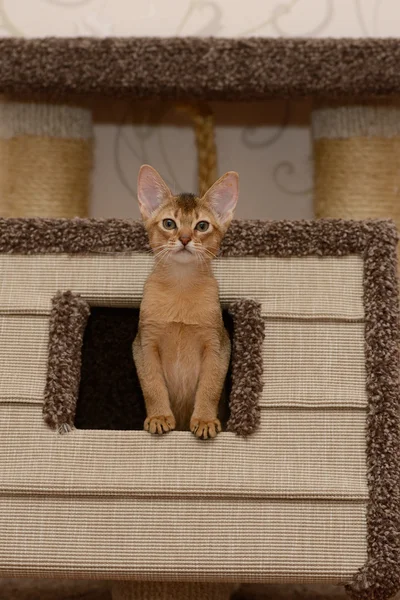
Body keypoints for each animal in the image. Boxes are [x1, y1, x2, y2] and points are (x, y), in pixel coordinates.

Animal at [133, 164, 239, 440]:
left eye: (202, 226)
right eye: (169, 223)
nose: (184, 238)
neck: (181, 288)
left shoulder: (217, 345)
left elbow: (209, 388)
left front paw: (205, 420)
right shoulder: (144, 344)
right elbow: (153, 386)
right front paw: (159, 417)